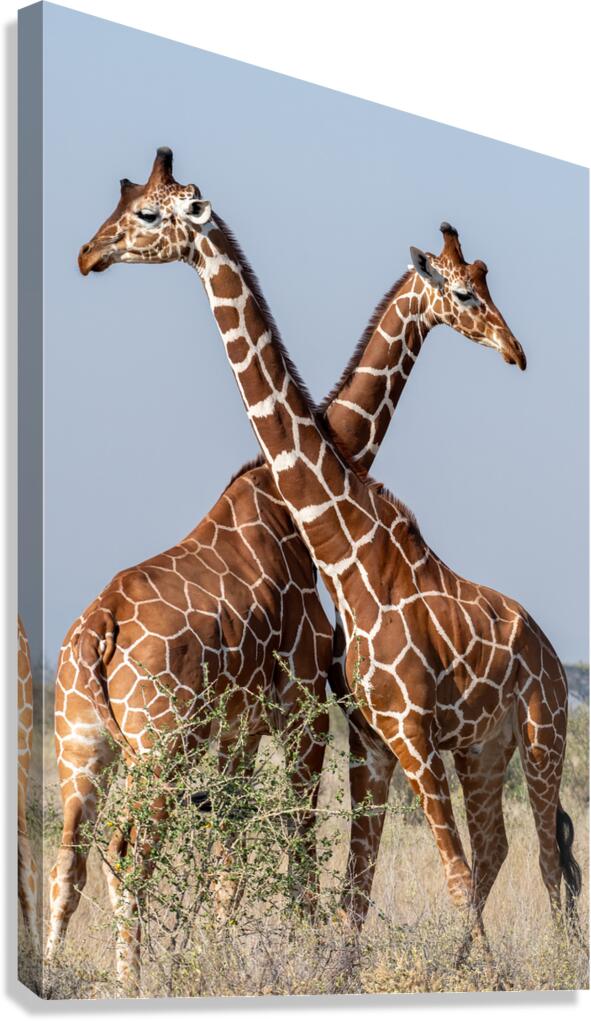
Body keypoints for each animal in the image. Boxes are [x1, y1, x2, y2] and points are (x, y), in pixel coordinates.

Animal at [74, 149, 579, 959]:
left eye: (146, 212)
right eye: (465, 290)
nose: (515, 350)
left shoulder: (330, 724)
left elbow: (318, 868)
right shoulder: (357, 732)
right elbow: (330, 877)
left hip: (533, 736)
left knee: (538, 855)